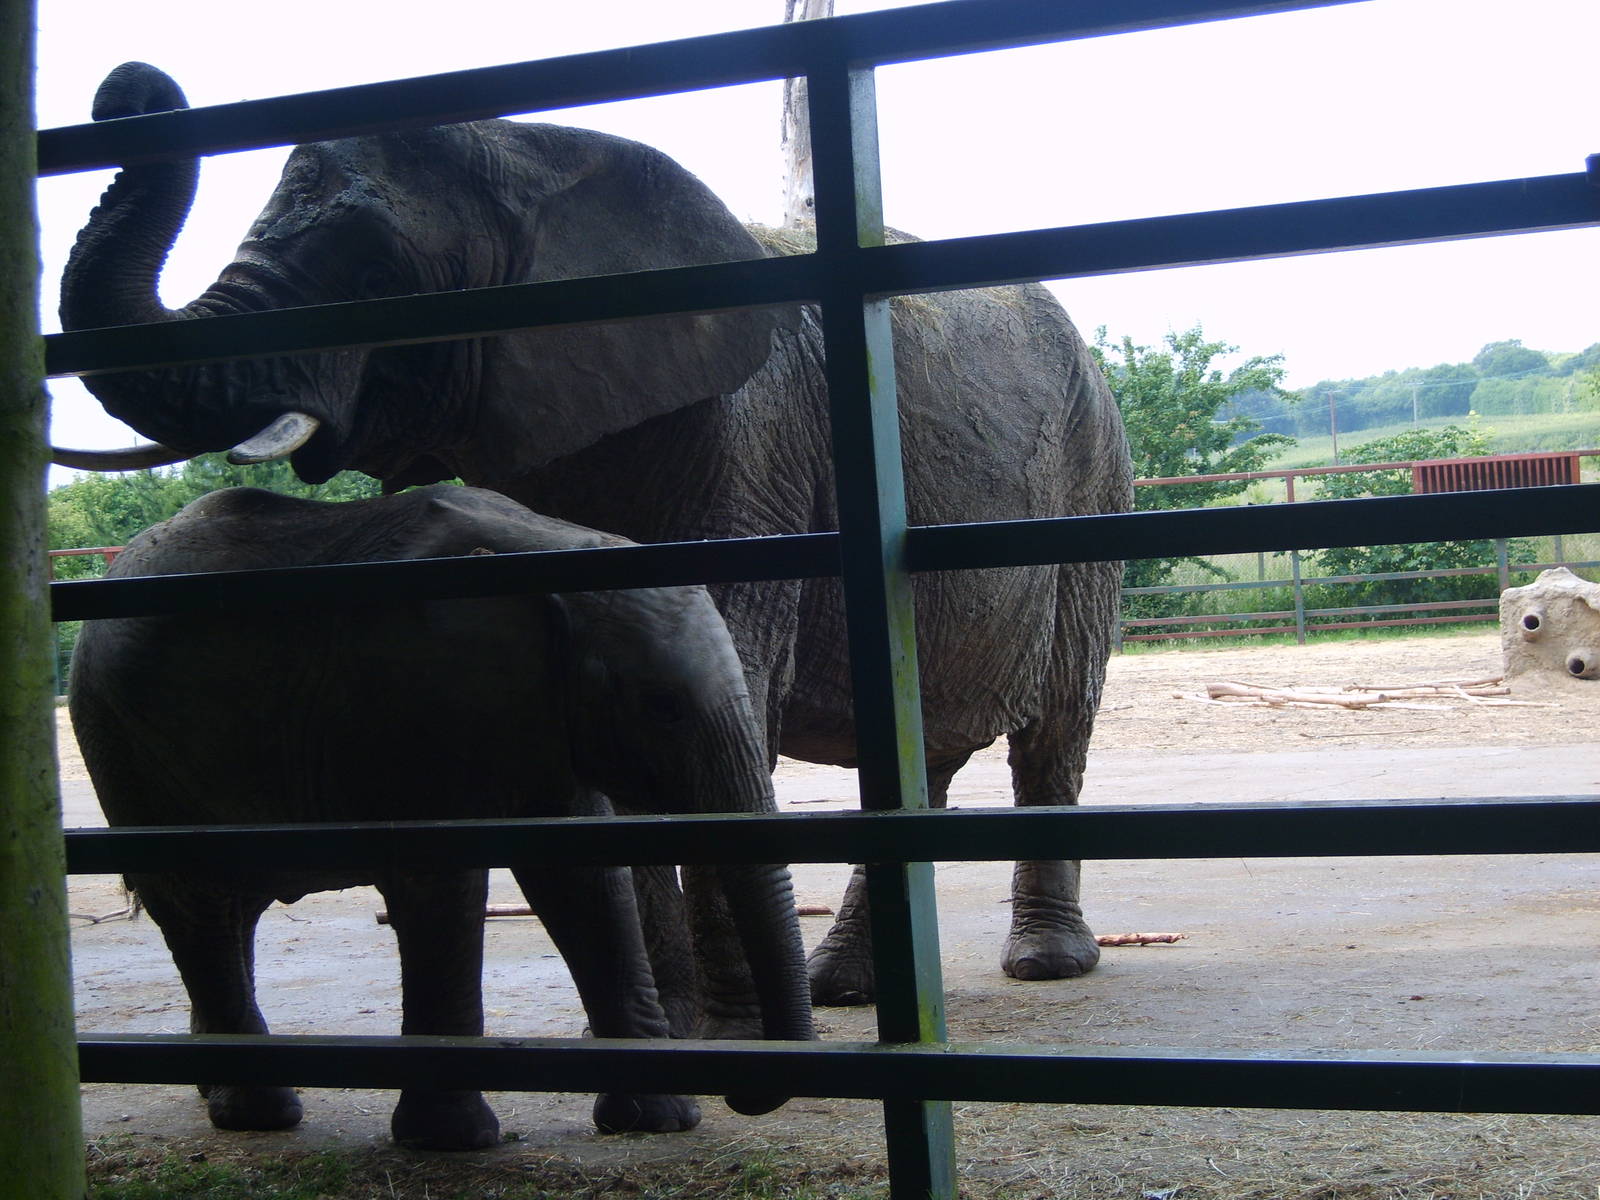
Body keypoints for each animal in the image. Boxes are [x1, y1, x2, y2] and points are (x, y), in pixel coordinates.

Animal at [59, 62, 1134, 1005]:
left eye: (371, 272)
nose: (130, 87)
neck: (537, 151)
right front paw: (676, 1008)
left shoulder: (757, 437)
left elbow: (725, 675)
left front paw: (727, 1014)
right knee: (920, 744)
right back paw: (846, 986)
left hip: (1093, 474)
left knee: (1054, 724)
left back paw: (1042, 964)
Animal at [67, 483, 815, 1150]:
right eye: (662, 706)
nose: (742, 1093)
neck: (553, 548)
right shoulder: (412, 695)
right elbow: (442, 880)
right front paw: (455, 1140)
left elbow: (585, 877)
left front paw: (658, 1122)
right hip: (122, 741)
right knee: (200, 904)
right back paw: (261, 1113)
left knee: (227, 909)